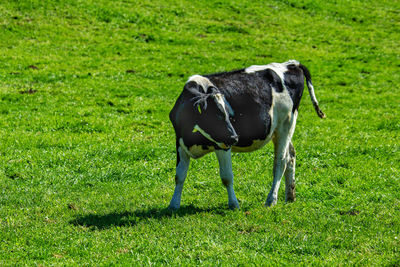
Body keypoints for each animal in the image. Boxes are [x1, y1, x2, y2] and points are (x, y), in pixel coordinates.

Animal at [169, 59, 324, 210]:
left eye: (229, 115)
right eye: (216, 115)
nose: (234, 138)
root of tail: (291, 64)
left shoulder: (223, 145)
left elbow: (226, 177)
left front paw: (234, 204)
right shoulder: (180, 143)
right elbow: (179, 175)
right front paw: (174, 204)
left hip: (286, 124)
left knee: (281, 161)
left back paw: (271, 199)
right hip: (278, 130)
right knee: (291, 154)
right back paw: (290, 196)